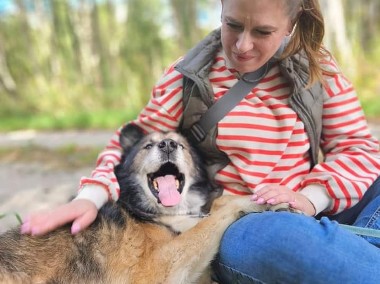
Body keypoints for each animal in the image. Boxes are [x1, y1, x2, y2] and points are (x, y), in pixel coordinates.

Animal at [0, 125, 294, 284]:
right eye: (148, 146)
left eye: (182, 146)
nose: (168, 144)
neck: (165, 215)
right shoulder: (157, 270)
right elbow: (210, 221)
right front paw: (253, 202)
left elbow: (213, 210)